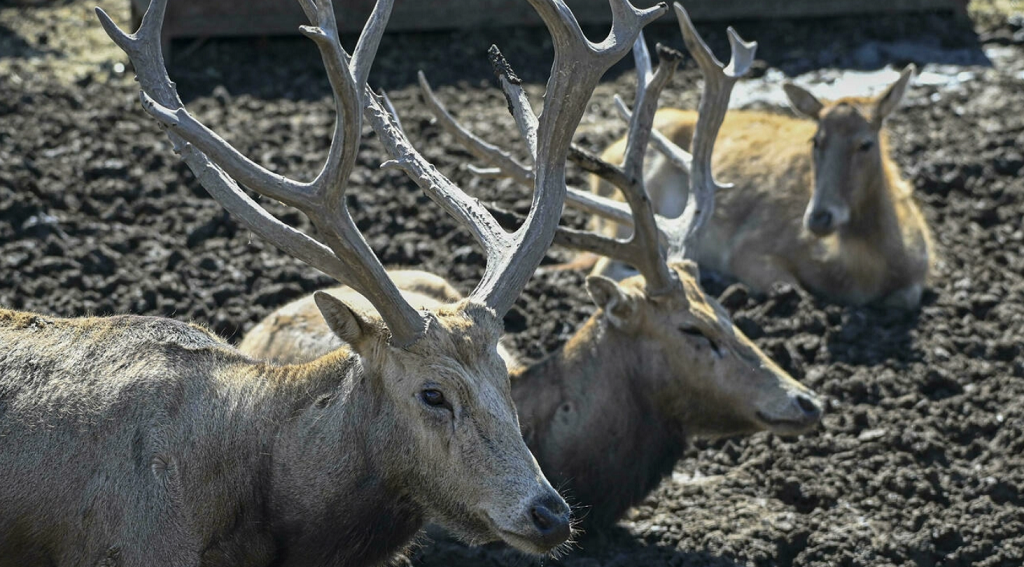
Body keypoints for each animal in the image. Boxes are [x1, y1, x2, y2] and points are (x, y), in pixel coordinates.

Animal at [589, 64, 933, 309]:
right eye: (816, 141)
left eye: (865, 144)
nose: (818, 218)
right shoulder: (750, 246)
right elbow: (792, 288)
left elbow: (906, 299)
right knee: (605, 267)